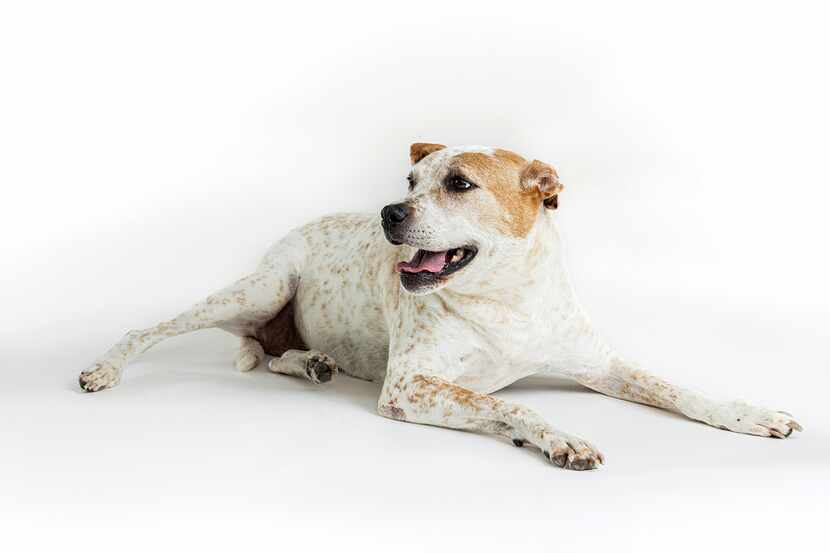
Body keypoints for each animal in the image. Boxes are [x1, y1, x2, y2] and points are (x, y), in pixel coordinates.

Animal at [81, 142, 804, 470]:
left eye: (459, 183)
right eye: (409, 180)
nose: (388, 212)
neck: (507, 298)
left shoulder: (601, 365)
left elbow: (680, 389)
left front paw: (751, 414)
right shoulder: (409, 386)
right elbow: (510, 402)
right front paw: (561, 436)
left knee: (276, 351)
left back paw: (312, 362)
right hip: (260, 287)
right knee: (149, 329)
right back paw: (104, 367)